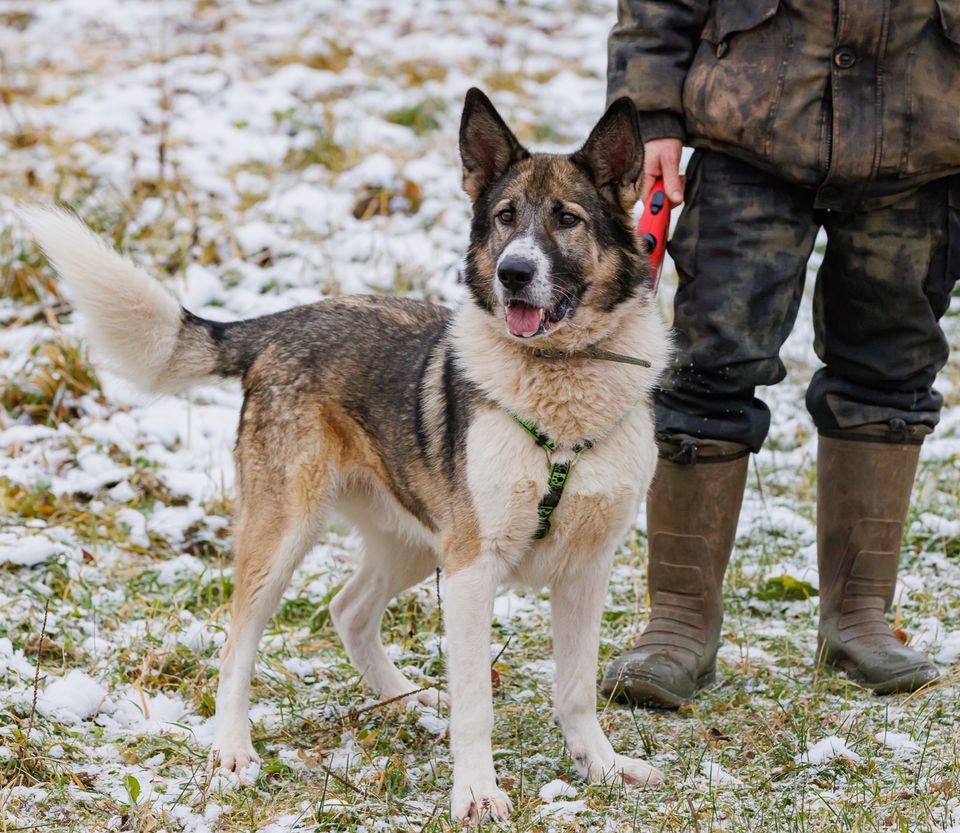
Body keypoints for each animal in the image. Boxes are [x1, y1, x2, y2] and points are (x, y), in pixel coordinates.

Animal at [20, 89, 668, 820]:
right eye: (505, 217)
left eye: (566, 219)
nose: (513, 273)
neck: (560, 382)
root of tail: (281, 322)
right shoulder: (472, 566)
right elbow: (477, 701)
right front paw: (476, 791)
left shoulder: (585, 567)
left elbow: (577, 690)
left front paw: (603, 767)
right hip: (289, 530)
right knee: (237, 639)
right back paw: (233, 751)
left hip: (415, 539)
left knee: (348, 611)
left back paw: (409, 699)